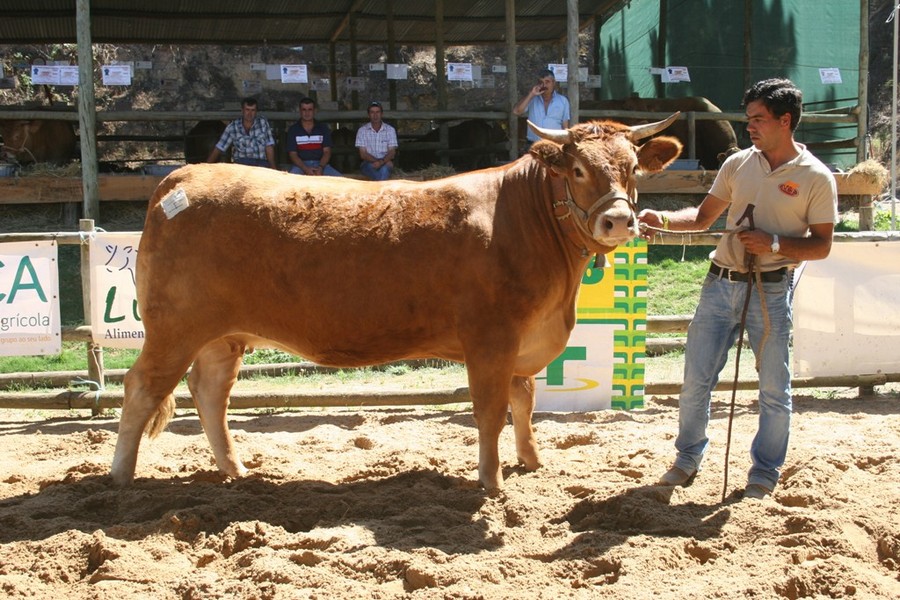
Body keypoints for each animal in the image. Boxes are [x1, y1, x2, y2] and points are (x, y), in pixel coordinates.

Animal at [110, 115, 683, 491]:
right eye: (579, 170)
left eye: (633, 168)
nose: (619, 221)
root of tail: (184, 174)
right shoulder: (491, 337)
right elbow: (490, 409)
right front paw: (492, 480)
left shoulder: (523, 341)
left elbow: (524, 400)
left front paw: (531, 460)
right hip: (174, 327)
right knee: (142, 388)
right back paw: (119, 478)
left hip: (223, 336)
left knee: (210, 394)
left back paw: (237, 471)